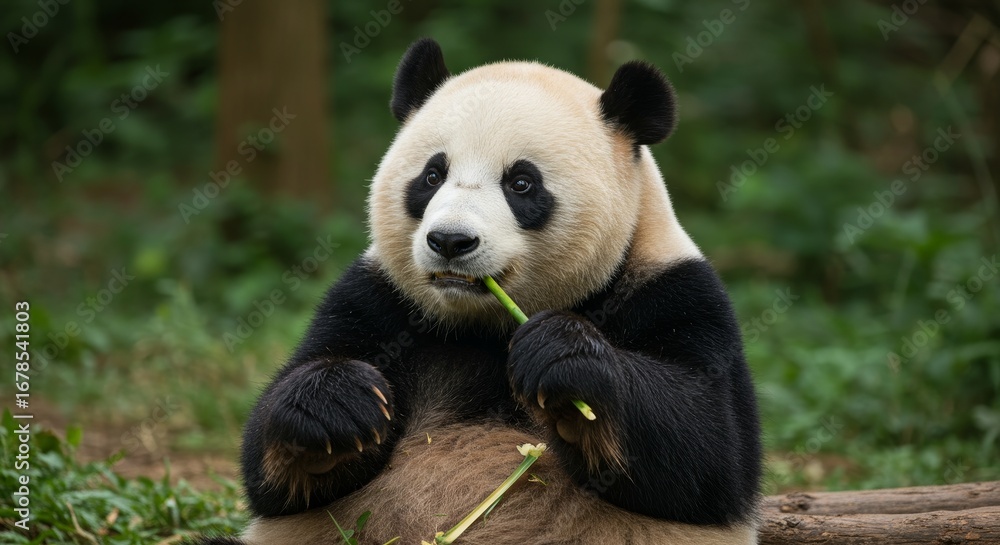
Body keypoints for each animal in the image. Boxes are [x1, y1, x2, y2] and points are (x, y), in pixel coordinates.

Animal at [202, 38, 761, 545]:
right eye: (432, 175)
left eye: (521, 183)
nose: (450, 241)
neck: (484, 325)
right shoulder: (376, 300)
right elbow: (270, 467)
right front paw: (337, 404)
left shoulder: (676, 293)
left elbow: (708, 453)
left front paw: (562, 358)